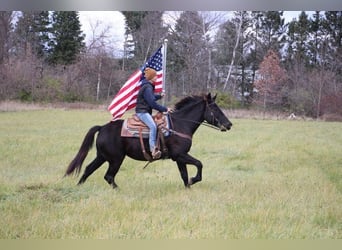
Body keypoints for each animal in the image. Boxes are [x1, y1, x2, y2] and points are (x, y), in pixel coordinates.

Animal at [65, 93, 232, 188]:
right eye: (215, 108)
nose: (229, 124)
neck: (180, 124)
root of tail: (102, 128)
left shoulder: (180, 158)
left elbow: (184, 175)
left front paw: (188, 186)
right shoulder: (180, 155)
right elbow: (199, 164)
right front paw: (194, 179)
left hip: (102, 156)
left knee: (88, 169)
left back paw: (78, 187)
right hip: (116, 159)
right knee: (109, 176)